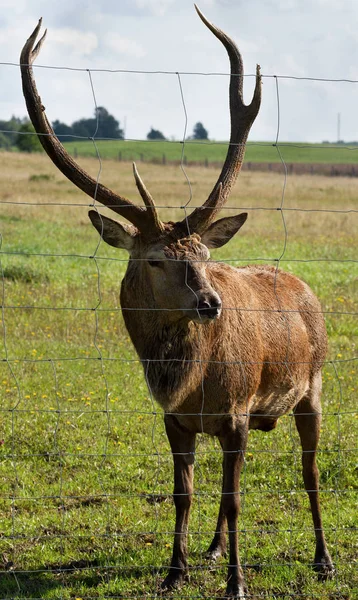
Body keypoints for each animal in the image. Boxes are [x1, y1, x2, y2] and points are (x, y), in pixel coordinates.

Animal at [19, 5, 334, 600]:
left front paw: (237, 584)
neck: (192, 382)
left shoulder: (237, 412)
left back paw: (323, 559)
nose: (211, 302)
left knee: (309, 474)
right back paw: (212, 549)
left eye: (205, 254)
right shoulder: (177, 420)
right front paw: (175, 570)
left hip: (313, 388)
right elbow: (185, 493)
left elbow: (235, 500)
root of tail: (305, 289)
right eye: (155, 260)